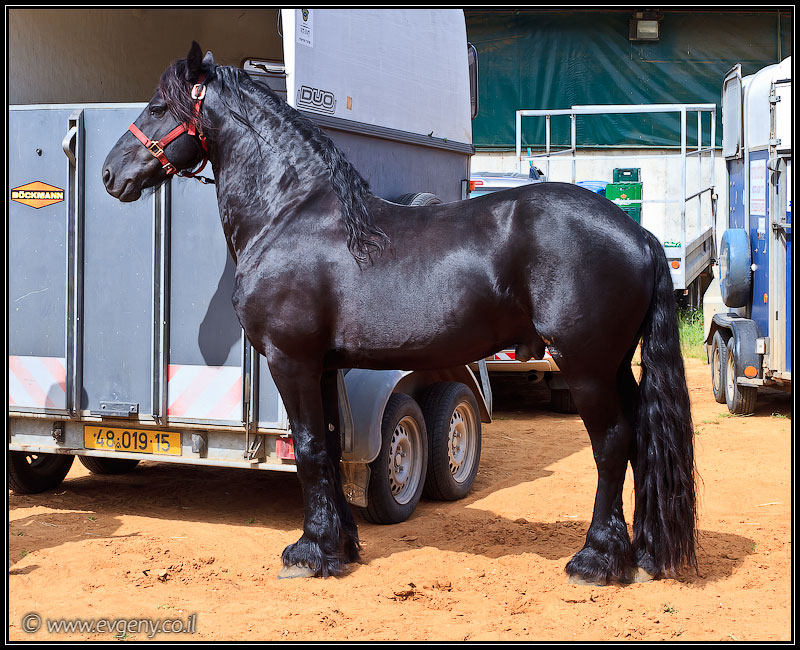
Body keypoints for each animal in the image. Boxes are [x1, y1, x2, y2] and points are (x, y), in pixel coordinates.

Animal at [102, 42, 697, 585]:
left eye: (157, 105)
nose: (110, 174)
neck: (291, 214)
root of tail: (639, 234)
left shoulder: (290, 361)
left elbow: (310, 450)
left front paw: (309, 553)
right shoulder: (324, 366)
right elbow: (330, 446)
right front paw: (339, 547)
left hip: (586, 367)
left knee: (612, 442)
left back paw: (596, 560)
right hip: (614, 365)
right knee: (640, 437)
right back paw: (641, 555)